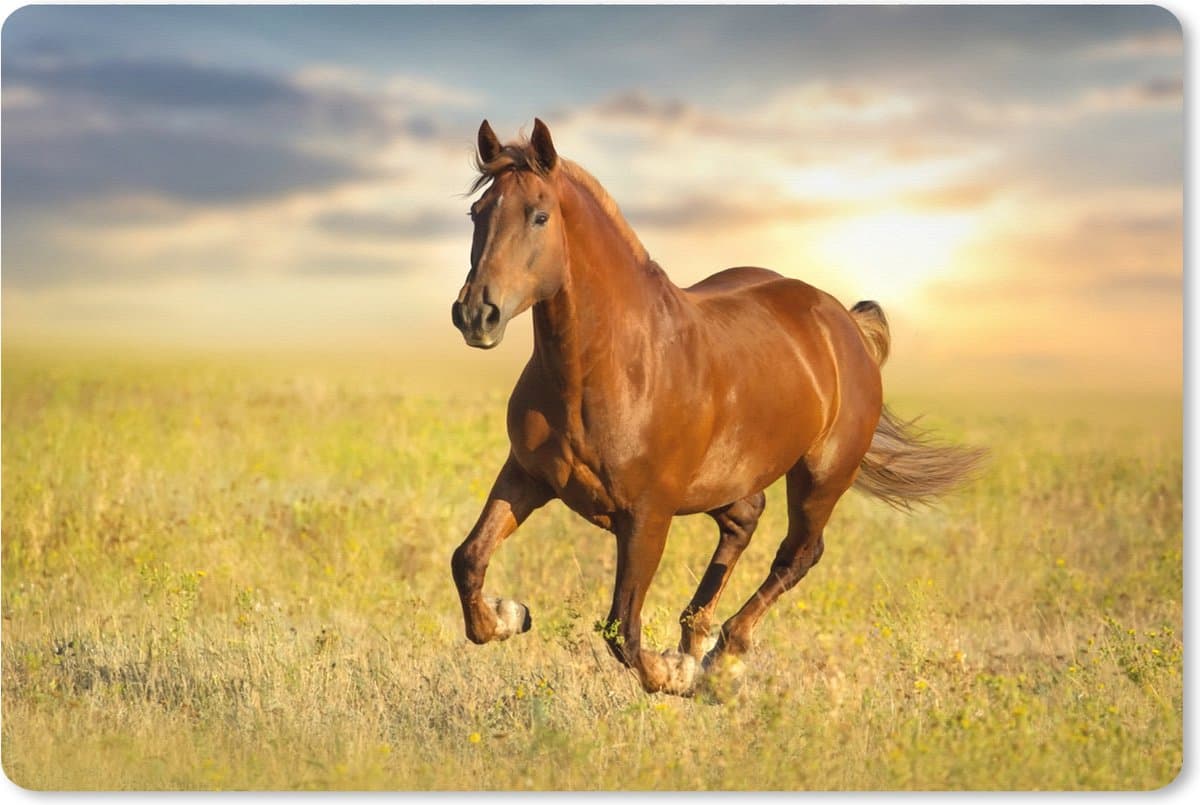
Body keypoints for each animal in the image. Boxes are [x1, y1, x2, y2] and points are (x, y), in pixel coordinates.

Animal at [450, 118, 983, 696]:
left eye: (539, 215)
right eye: (477, 213)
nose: (476, 314)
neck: (608, 368)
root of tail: (843, 321)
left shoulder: (648, 515)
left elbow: (622, 629)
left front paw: (674, 672)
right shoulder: (527, 476)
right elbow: (469, 559)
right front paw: (510, 614)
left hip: (820, 477)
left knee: (798, 554)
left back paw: (722, 657)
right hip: (726, 480)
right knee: (745, 522)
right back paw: (699, 638)